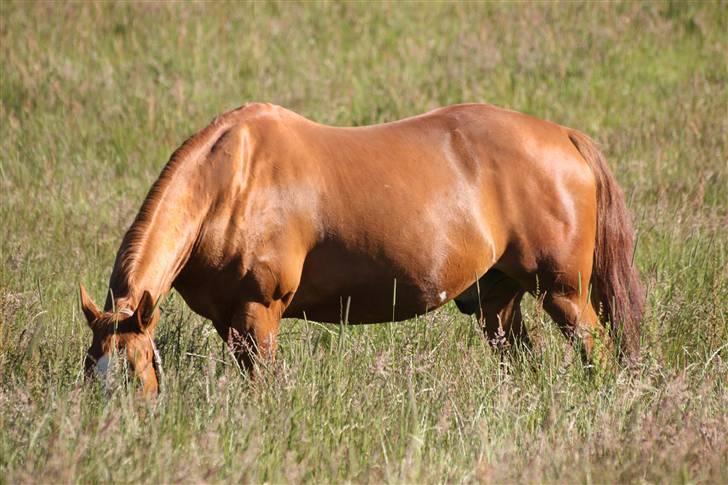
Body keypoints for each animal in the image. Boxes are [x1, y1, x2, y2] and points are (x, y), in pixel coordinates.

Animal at [79, 102, 644, 396]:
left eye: (134, 374)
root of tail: (565, 136)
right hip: (497, 300)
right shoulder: (229, 320)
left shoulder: (259, 313)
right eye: (91, 372)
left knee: (597, 351)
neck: (230, 181)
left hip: (563, 294)